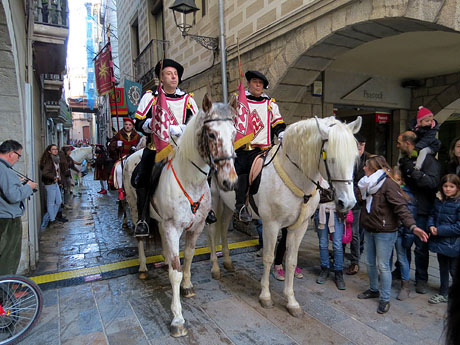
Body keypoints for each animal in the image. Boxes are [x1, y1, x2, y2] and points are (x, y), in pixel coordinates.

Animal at [122, 94, 237, 336]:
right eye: (211, 134)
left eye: (234, 133)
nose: (229, 181)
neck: (190, 179)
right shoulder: (173, 227)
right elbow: (175, 271)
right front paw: (177, 319)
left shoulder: (196, 227)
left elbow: (188, 258)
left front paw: (187, 286)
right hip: (135, 208)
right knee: (140, 238)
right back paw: (144, 268)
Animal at [207, 116, 362, 318]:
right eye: (331, 159)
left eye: (354, 159)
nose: (348, 203)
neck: (296, 178)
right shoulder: (271, 225)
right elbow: (268, 257)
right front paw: (265, 296)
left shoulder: (299, 226)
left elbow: (291, 261)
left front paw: (291, 301)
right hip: (215, 201)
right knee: (212, 232)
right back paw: (215, 268)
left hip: (228, 205)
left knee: (224, 229)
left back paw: (227, 262)